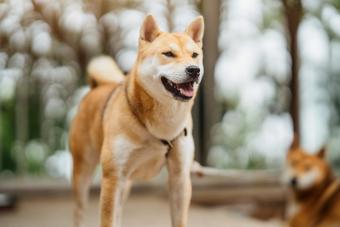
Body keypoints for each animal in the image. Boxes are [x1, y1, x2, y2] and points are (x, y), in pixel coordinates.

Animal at [67, 14, 203, 227]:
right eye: (168, 54)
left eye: (195, 55)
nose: (194, 70)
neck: (162, 127)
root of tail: (98, 86)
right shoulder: (113, 177)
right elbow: (108, 220)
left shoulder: (180, 178)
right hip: (84, 174)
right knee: (79, 212)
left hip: (126, 184)